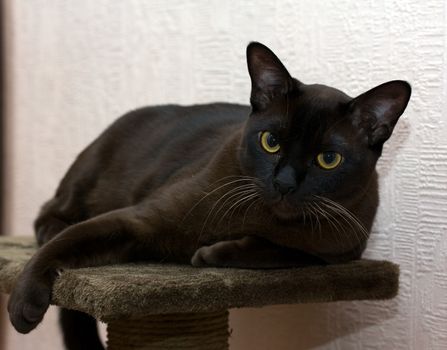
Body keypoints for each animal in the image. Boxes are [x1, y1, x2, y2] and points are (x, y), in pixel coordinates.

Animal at [7, 43, 412, 350]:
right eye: (271, 141)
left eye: (328, 160)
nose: (284, 183)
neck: (259, 218)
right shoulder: (138, 221)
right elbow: (63, 246)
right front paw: (23, 305)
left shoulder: (340, 253)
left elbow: (289, 253)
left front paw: (210, 254)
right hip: (87, 178)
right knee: (50, 216)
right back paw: (48, 236)